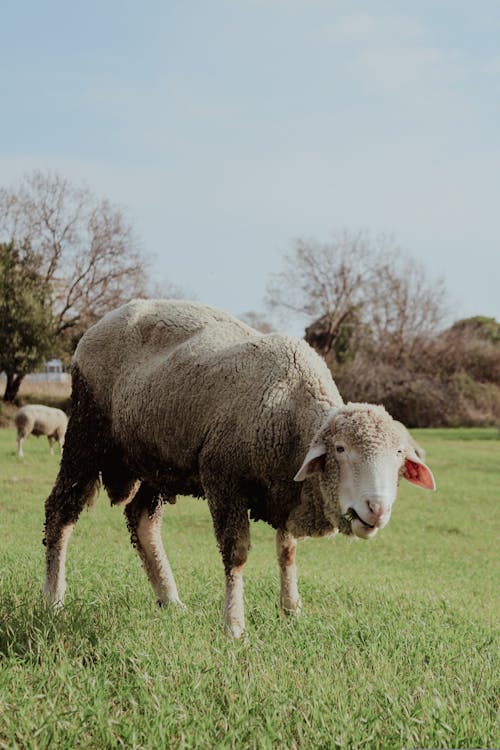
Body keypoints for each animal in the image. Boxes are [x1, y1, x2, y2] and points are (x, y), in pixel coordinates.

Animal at [42, 296, 434, 636]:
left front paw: (291, 611)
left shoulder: (285, 489)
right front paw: (233, 625)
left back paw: (170, 600)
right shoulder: (223, 479)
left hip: (155, 458)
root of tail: (103, 322)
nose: (377, 508)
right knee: (60, 510)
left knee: (142, 521)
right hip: (86, 433)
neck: (290, 413)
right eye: (340, 448)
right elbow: (237, 554)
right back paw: (53, 600)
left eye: (399, 457)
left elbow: (287, 552)